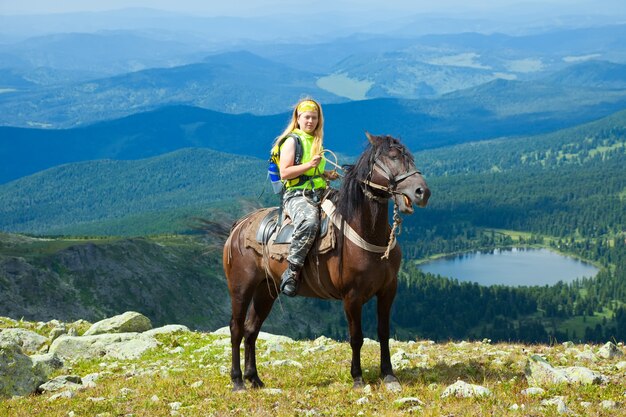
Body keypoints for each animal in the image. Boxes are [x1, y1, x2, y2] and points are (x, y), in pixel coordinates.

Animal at [222, 132, 432, 390]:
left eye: (410, 157)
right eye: (392, 157)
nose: (422, 192)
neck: (366, 232)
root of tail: (238, 227)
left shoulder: (388, 291)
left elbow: (383, 332)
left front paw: (389, 374)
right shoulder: (351, 297)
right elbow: (356, 337)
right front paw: (358, 377)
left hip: (266, 291)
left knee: (251, 330)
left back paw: (255, 378)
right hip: (241, 288)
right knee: (236, 329)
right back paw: (238, 380)